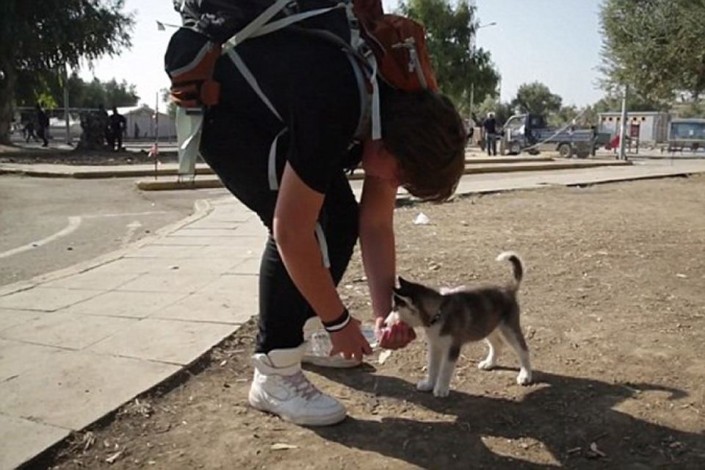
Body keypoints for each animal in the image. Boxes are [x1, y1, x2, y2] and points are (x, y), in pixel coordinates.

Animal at [386, 252, 532, 397]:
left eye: (395, 309)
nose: (385, 323)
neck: (438, 314)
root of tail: (507, 289)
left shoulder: (452, 347)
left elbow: (445, 370)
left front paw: (441, 389)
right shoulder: (434, 345)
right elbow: (432, 367)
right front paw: (429, 384)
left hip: (509, 328)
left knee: (523, 349)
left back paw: (525, 375)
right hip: (486, 325)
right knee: (498, 344)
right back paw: (489, 363)